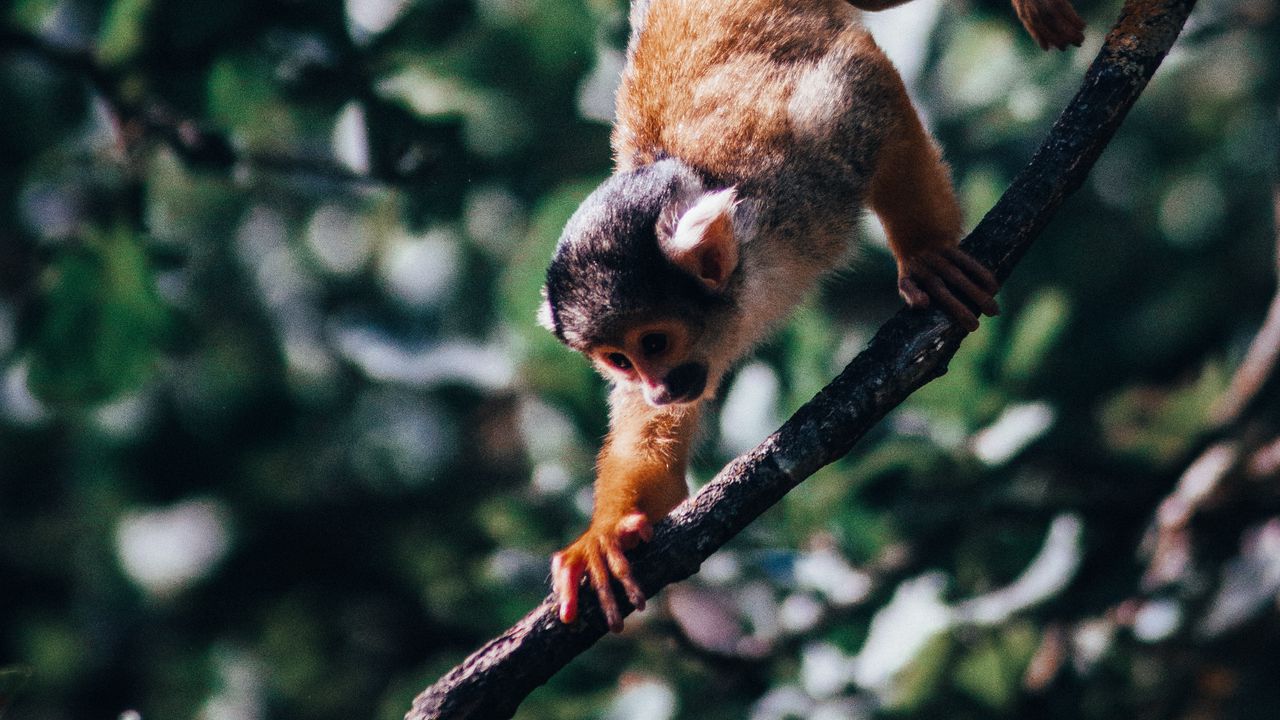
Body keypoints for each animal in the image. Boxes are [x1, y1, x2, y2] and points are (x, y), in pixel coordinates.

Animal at [535, 0, 1085, 627]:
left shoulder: (788, 172)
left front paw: (925, 254)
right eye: (620, 361)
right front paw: (605, 536)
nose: (656, 387)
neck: (749, 273)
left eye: (654, 343)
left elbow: (861, 85)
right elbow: (657, 460)